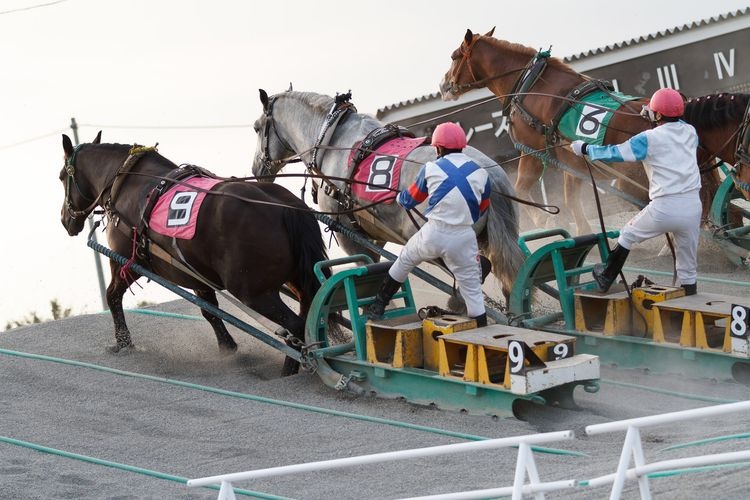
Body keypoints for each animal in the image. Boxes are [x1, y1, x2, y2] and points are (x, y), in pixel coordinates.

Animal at [58, 133, 328, 376]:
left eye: (62, 177)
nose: (64, 219)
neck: (128, 183)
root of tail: (287, 208)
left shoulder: (126, 262)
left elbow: (112, 295)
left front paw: (123, 342)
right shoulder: (196, 273)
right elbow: (209, 311)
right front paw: (227, 347)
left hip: (254, 292)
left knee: (296, 327)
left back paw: (294, 368)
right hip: (298, 282)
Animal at [438, 28, 724, 234]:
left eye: (453, 57)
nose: (443, 85)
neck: (532, 86)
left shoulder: (533, 152)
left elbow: (522, 188)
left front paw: (544, 220)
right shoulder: (570, 160)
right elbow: (570, 197)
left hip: (632, 181)